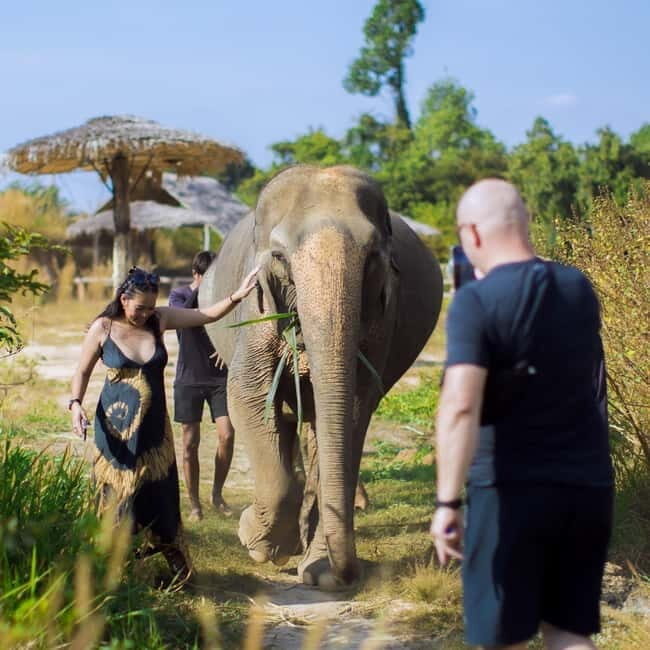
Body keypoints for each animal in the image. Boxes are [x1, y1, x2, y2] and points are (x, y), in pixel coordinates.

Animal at [200, 165, 443, 589]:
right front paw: (258, 542)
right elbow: (248, 395)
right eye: (279, 256)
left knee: (317, 427)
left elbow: (355, 407)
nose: (348, 575)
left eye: (373, 257)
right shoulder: (255, 305)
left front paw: (318, 571)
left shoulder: (382, 316)